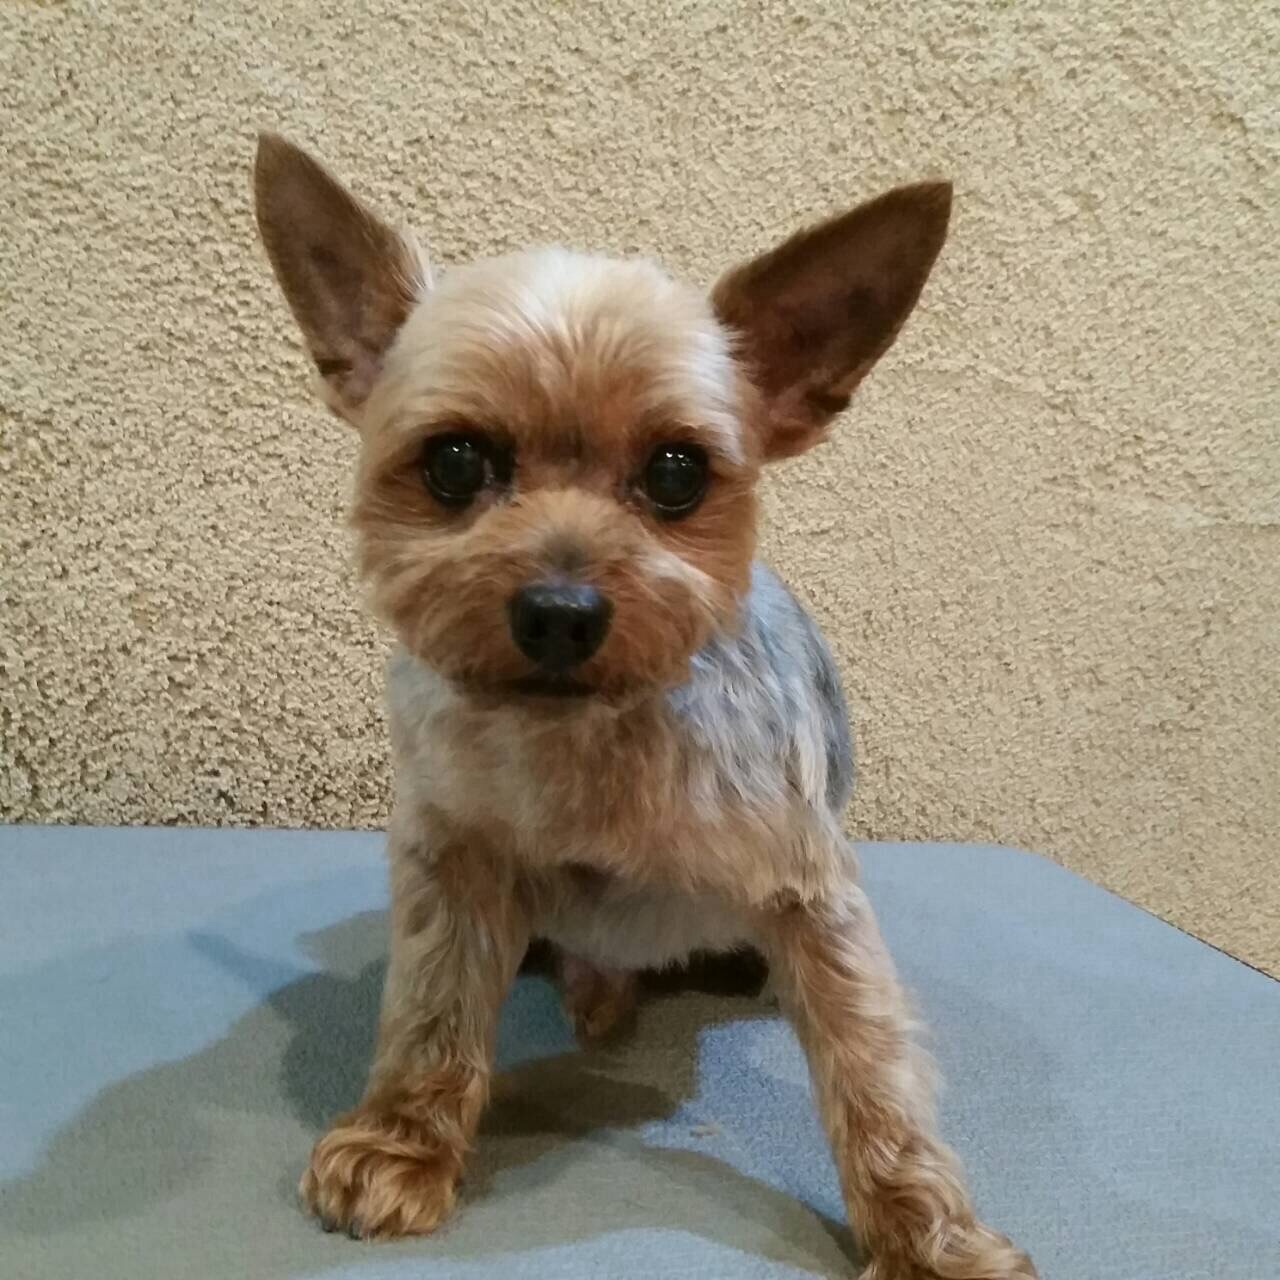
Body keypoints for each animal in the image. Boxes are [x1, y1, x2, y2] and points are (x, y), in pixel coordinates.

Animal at [253, 133, 1036, 1280]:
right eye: (454, 460)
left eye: (675, 472)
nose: (559, 613)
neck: (586, 738)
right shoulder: (449, 853)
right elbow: (433, 1003)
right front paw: (400, 1142)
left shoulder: (811, 890)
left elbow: (870, 1069)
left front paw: (930, 1236)